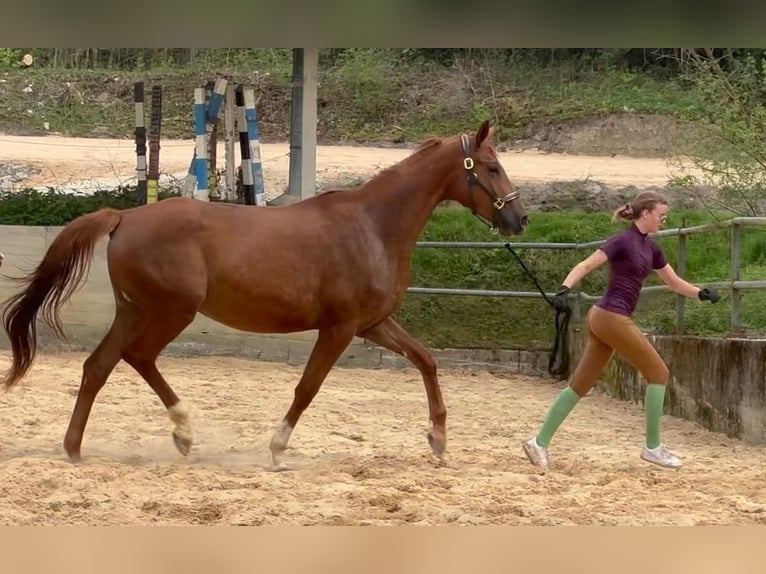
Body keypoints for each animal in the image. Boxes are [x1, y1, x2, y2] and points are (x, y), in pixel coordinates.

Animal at [0, 119, 528, 470]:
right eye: (491, 167)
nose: (519, 219)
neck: (373, 227)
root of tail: (123, 217)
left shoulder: (373, 324)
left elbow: (426, 360)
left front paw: (438, 439)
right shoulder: (339, 328)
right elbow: (307, 387)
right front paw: (277, 449)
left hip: (135, 311)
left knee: (99, 366)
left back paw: (77, 449)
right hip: (171, 312)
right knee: (137, 357)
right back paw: (182, 432)